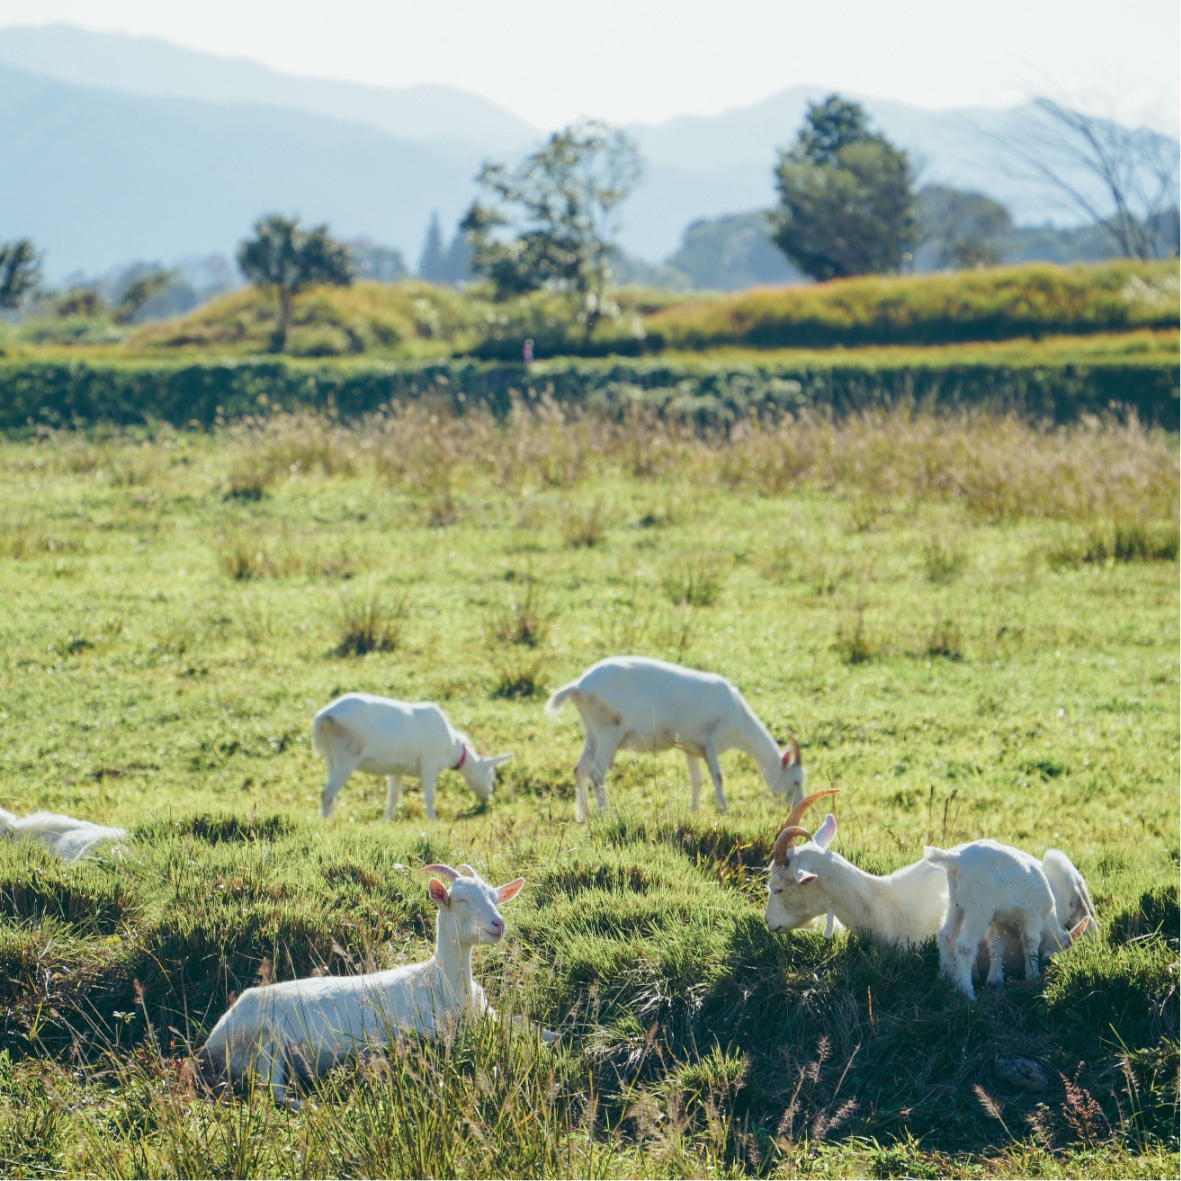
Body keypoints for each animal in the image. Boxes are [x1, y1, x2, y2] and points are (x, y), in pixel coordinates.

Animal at [197, 864, 522, 1100]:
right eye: (461, 900)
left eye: (495, 898)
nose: (498, 924)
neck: (441, 980)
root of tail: (211, 1042)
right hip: (264, 1046)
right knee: (270, 1093)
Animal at [311, 689, 510, 821]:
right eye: (492, 774)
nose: (489, 798)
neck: (452, 748)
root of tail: (324, 718)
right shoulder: (429, 763)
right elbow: (429, 795)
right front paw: (432, 821)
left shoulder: (396, 769)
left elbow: (393, 797)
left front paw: (385, 822)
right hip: (347, 755)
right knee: (327, 793)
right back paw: (327, 824)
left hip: (331, 757)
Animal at [543, 656, 803, 821]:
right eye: (796, 781)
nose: (797, 809)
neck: (739, 714)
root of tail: (578, 686)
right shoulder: (712, 741)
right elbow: (718, 776)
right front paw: (723, 810)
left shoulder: (691, 748)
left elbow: (696, 780)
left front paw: (695, 811)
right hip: (610, 732)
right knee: (596, 774)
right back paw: (606, 815)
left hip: (592, 733)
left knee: (580, 769)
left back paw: (583, 816)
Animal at [925, 840, 1091, 996]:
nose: (1053, 967)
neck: (1048, 922)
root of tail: (957, 859)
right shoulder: (1032, 917)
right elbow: (1031, 941)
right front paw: (1033, 977)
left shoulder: (999, 922)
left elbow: (997, 946)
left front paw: (995, 981)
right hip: (979, 907)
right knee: (964, 945)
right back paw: (965, 991)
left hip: (955, 901)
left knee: (946, 935)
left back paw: (945, 977)